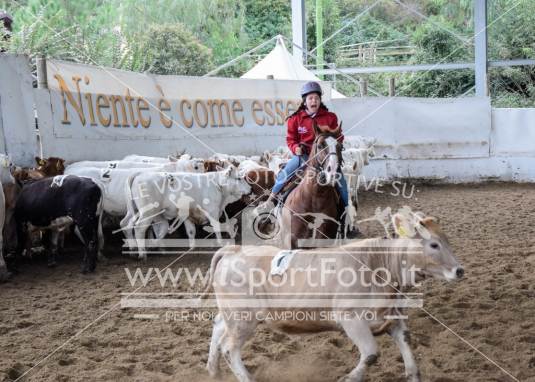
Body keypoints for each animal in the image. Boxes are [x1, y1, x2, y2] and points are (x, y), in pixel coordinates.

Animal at [203, 212, 462, 382]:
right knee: (230, 348)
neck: (379, 264)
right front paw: (350, 377)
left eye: (447, 241)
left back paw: (213, 371)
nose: (459, 270)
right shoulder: (350, 318)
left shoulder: (393, 317)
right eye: (434, 244)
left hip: (232, 314)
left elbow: (406, 344)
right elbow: (371, 353)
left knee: (218, 327)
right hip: (243, 318)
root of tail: (234, 250)